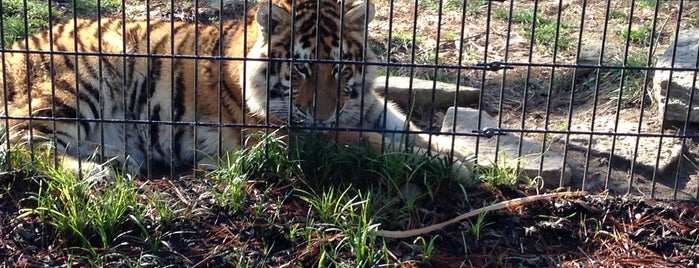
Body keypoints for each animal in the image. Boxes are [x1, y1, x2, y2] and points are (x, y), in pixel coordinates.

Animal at [0, 0, 474, 180]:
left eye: (340, 70)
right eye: (300, 70)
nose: (322, 116)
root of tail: (14, 49)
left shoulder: (370, 109)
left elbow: (409, 132)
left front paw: (458, 156)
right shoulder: (290, 137)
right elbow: (370, 144)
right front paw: (446, 164)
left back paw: (118, 160)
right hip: (80, 83)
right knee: (22, 143)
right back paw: (93, 172)